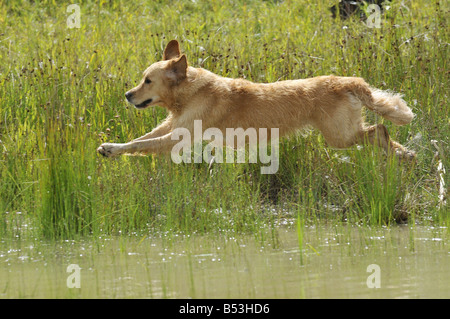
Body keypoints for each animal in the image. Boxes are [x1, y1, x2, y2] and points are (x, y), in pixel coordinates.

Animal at [97, 39, 414, 160]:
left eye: (147, 81)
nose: (127, 95)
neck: (190, 92)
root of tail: (347, 81)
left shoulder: (179, 135)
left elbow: (142, 144)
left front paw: (112, 149)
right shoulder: (172, 126)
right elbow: (141, 139)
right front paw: (111, 147)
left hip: (339, 136)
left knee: (378, 130)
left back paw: (401, 153)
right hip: (343, 132)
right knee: (380, 132)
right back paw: (404, 154)